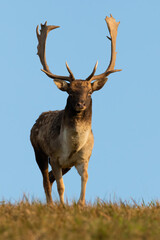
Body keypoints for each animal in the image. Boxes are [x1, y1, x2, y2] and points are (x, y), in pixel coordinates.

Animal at [30, 14, 120, 205]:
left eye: (90, 92)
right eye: (70, 92)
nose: (80, 104)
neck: (71, 146)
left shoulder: (84, 159)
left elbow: (85, 178)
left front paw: (81, 204)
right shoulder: (55, 157)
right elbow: (61, 186)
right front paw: (63, 206)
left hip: (66, 166)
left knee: (49, 178)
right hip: (38, 151)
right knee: (46, 180)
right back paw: (50, 204)